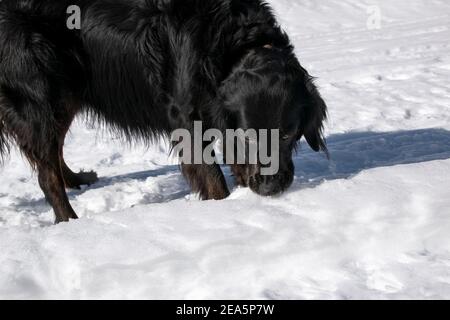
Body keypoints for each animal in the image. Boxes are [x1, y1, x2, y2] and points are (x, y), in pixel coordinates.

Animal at [0, 0, 326, 222]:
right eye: (250, 137)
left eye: (287, 135)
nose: (271, 187)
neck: (235, 44)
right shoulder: (188, 120)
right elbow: (213, 176)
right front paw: (224, 209)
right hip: (41, 92)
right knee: (46, 173)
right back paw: (70, 221)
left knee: (52, 152)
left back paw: (76, 180)